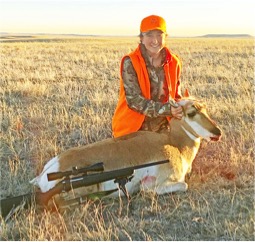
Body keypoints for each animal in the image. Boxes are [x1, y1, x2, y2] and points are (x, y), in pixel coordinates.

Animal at [29, 97, 221, 201]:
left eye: (205, 108)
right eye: (191, 112)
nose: (217, 133)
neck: (173, 143)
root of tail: (49, 170)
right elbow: (183, 185)